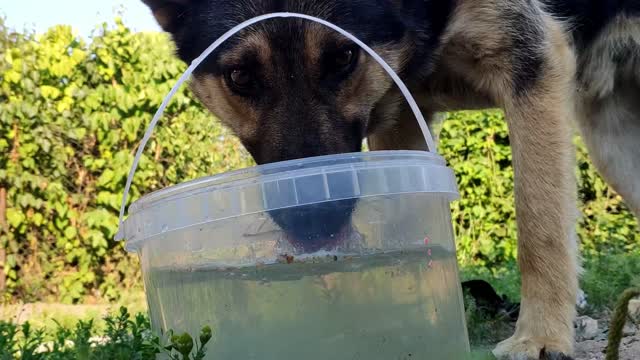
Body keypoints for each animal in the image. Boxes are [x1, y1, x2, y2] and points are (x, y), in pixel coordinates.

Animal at [140, 0, 640, 358]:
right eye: (240, 75)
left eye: (344, 56)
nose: (313, 224)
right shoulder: (398, 114)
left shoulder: (531, 64)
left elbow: (540, 222)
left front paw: (541, 337)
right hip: (613, 146)